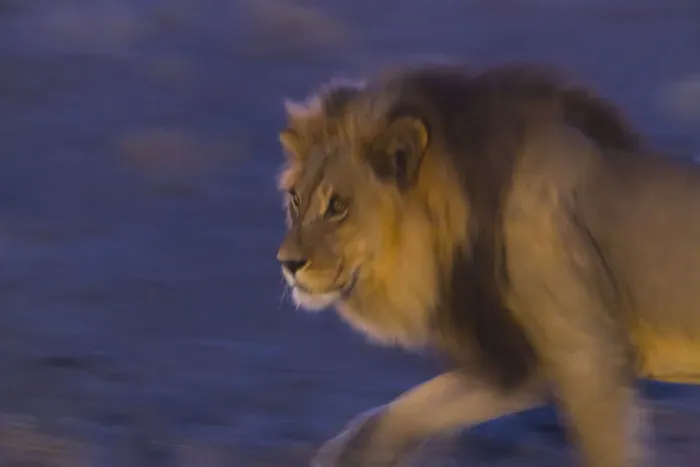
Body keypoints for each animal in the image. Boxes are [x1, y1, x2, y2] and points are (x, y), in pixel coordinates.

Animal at [275, 62, 700, 467]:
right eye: (296, 199)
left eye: (338, 205)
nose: (287, 264)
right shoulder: (518, 359)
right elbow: (406, 410)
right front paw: (348, 453)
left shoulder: (589, 359)